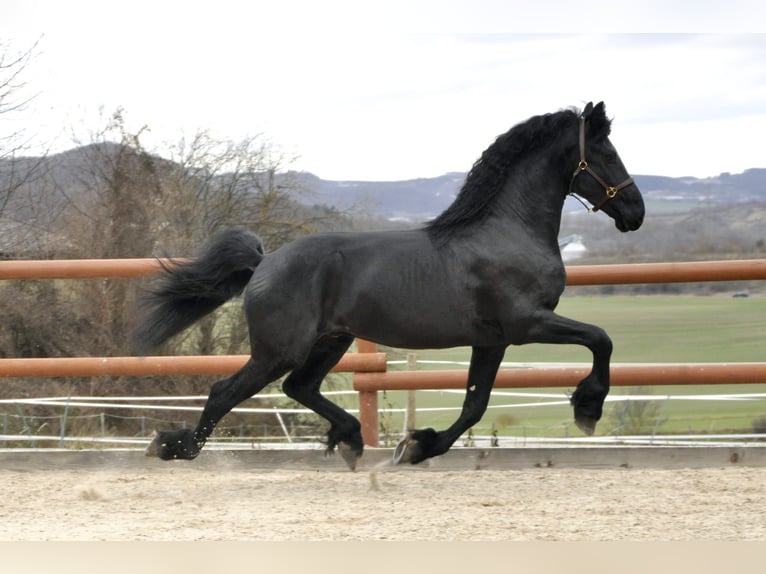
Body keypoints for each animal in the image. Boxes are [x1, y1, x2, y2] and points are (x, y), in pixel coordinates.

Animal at [134, 101, 644, 469]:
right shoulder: (527, 323)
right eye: (607, 153)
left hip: (331, 340)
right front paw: (587, 409)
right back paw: (173, 446)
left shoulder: (492, 340)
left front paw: (419, 447)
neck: (505, 232)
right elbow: (601, 339)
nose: (636, 212)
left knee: (300, 387)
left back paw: (349, 439)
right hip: (280, 349)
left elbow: (474, 405)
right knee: (227, 391)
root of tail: (265, 262)